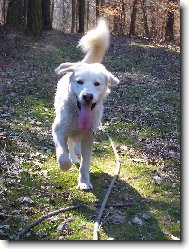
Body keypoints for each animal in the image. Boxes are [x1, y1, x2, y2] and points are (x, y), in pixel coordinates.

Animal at [52, 18, 119, 190]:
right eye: (80, 82)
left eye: (97, 84)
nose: (87, 96)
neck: (78, 115)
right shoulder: (58, 130)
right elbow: (62, 155)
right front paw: (66, 165)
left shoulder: (89, 137)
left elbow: (85, 164)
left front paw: (84, 182)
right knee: (70, 144)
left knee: (75, 144)